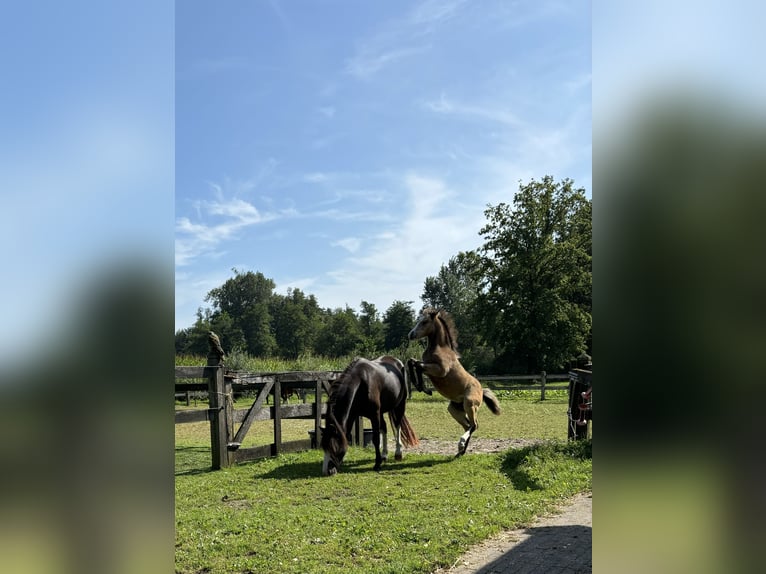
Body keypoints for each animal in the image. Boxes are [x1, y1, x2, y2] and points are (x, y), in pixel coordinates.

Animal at [408, 310, 504, 460]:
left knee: (474, 425)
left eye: (424, 322)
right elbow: (412, 362)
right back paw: (460, 452)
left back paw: (461, 444)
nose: (411, 335)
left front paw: (424, 388)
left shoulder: (440, 370)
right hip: (454, 409)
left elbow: (416, 364)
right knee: (468, 425)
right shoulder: (428, 367)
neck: (440, 349)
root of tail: (481, 391)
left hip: (470, 404)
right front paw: (423, 388)